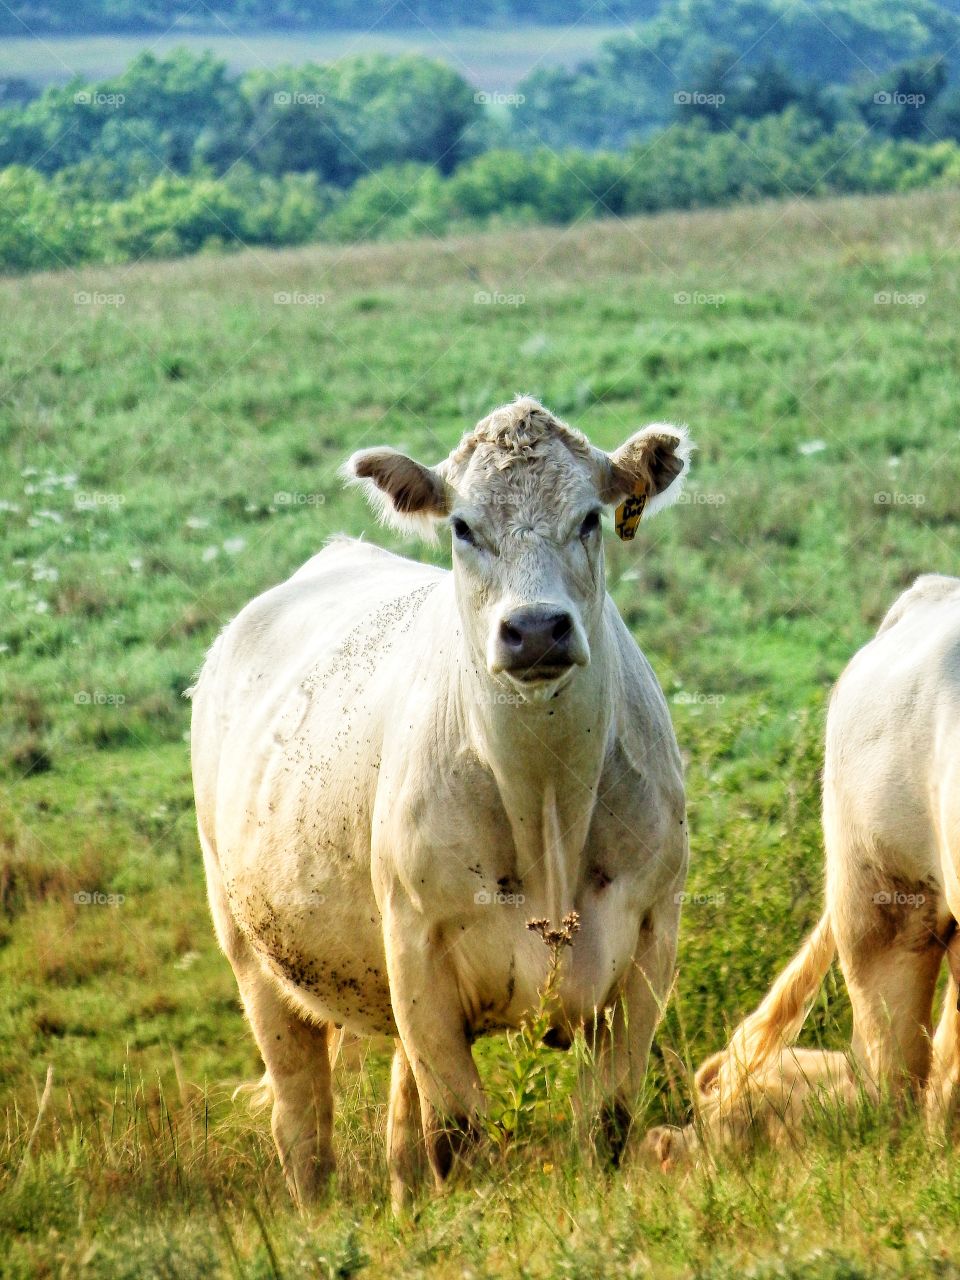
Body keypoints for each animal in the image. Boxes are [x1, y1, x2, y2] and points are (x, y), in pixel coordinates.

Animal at [190, 396, 692, 1208]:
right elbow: (455, 1135)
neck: (545, 805)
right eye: (462, 526)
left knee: (398, 1134)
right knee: (304, 1129)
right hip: (253, 955)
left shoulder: (651, 940)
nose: (535, 629)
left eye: (589, 517)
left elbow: (606, 1123)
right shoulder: (418, 948)